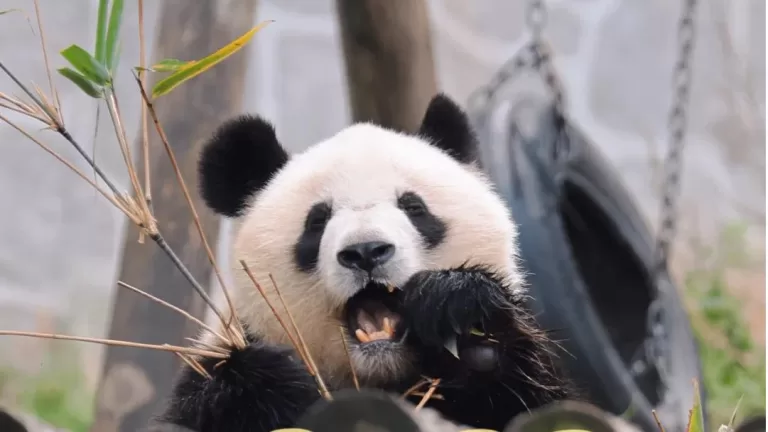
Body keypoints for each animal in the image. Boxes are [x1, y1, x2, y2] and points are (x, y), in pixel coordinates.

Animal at [158, 94, 574, 431]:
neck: (378, 373)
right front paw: (269, 384)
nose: (366, 251)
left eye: (413, 207)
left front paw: (467, 327)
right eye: (317, 221)